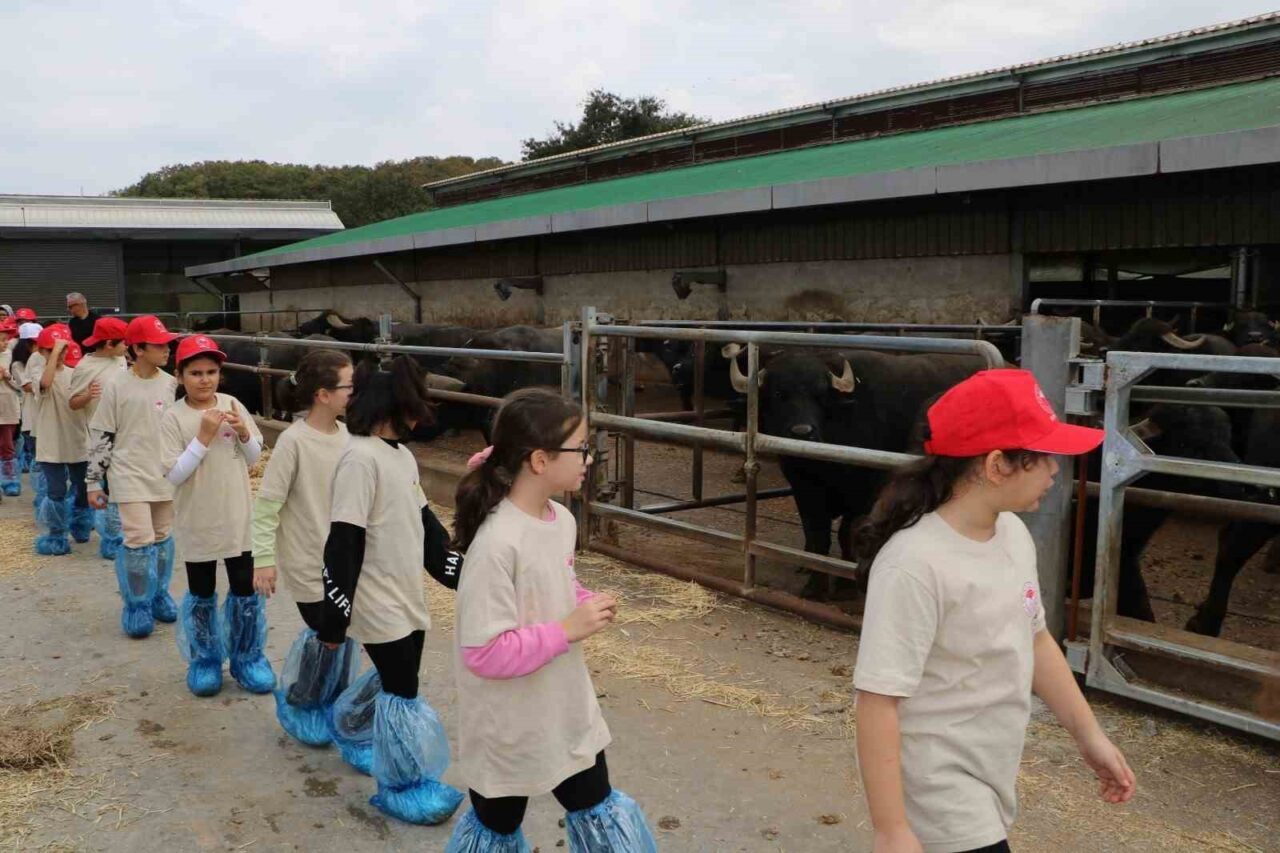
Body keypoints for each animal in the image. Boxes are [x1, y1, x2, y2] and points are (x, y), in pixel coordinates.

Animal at [726, 346, 985, 598]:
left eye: (820, 396)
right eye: (779, 394)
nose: (802, 432)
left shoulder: (863, 493)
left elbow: (846, 534)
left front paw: (845, 587)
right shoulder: (804, 489)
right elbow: (817, 535)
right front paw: (814, 585)